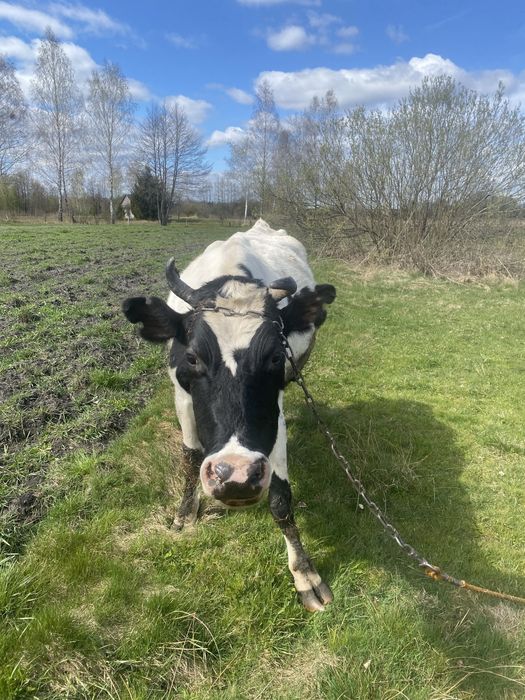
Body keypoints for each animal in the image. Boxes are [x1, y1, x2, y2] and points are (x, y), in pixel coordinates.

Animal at [122, 219, 336, 611]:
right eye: (193, 357)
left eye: (274, 356)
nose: (235, 475)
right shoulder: (181, 396)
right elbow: (190, 456)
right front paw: (185, 511)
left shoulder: (272, 411)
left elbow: (280, 499)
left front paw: (304, 574)